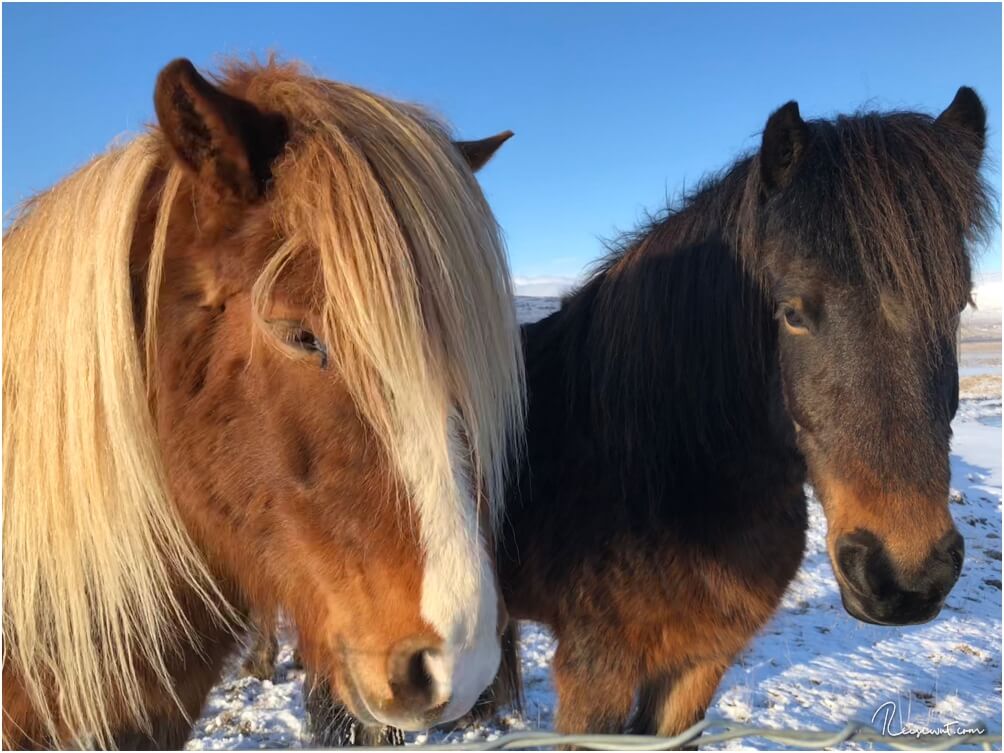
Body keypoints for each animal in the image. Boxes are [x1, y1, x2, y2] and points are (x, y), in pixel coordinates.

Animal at [303, 86, 987, 742]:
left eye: (959, 305)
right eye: (793, 311)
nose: (905, 576)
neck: (662, 472)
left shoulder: (700, 663)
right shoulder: (596, 672)